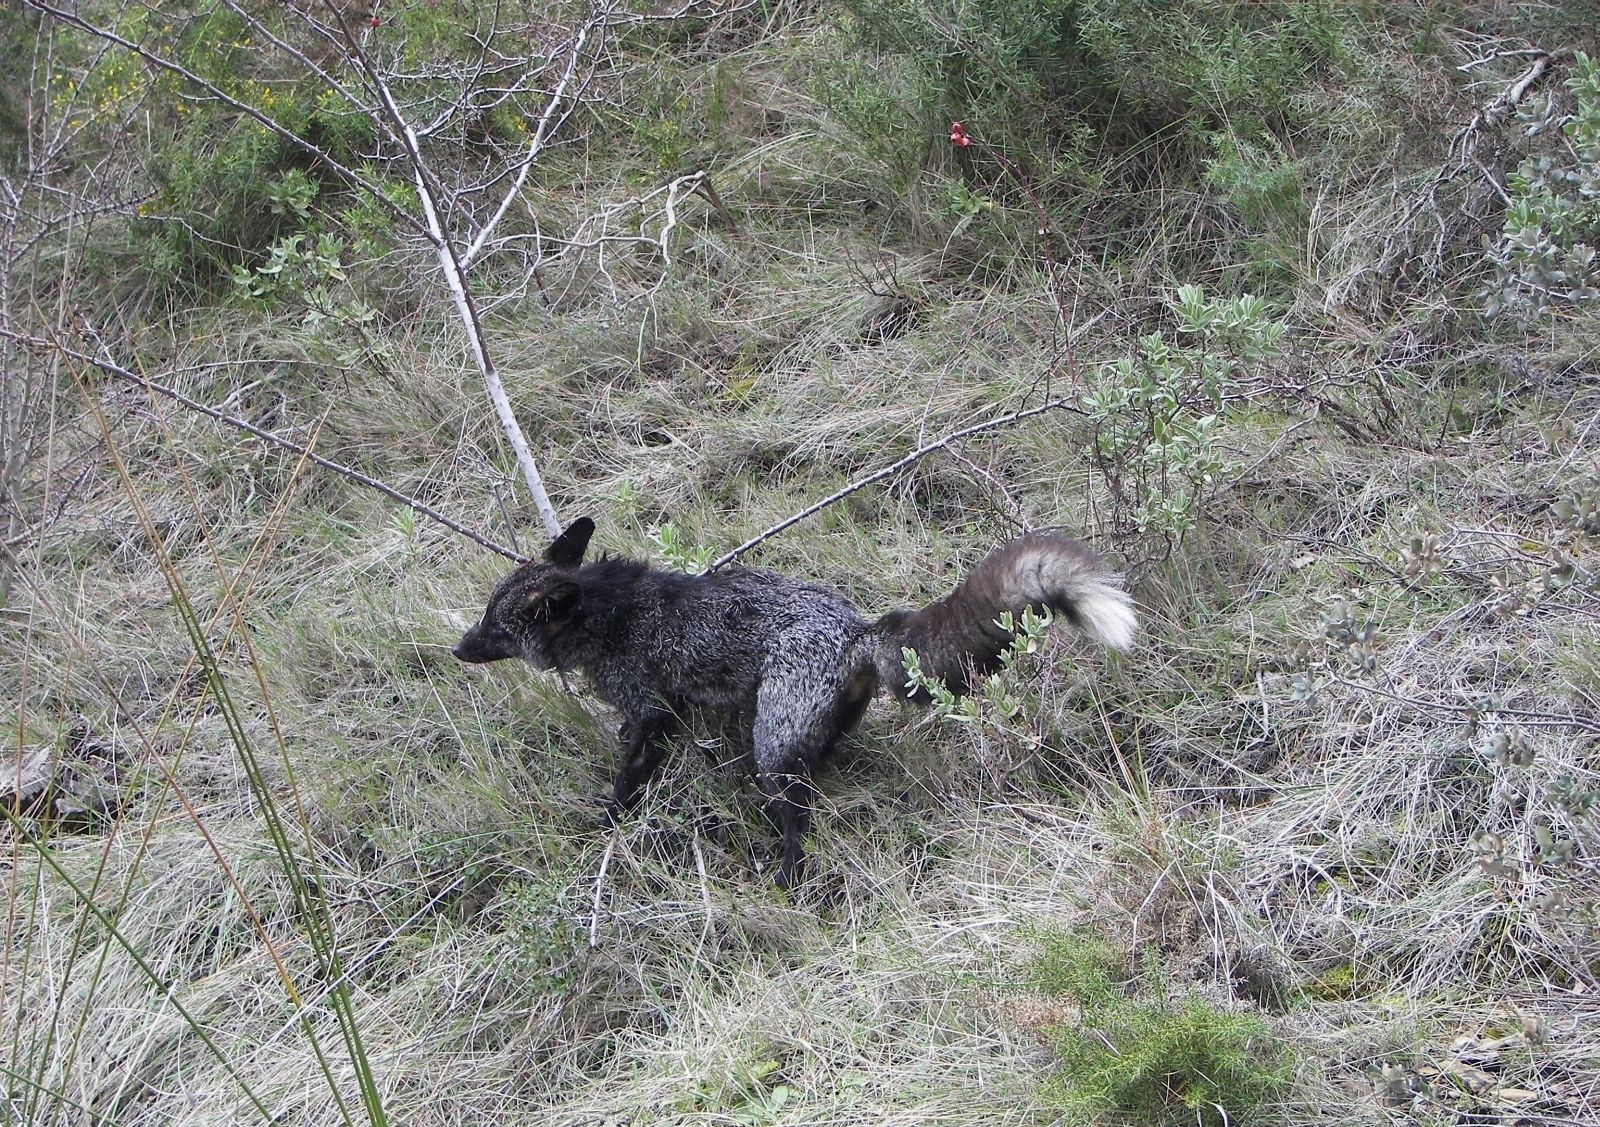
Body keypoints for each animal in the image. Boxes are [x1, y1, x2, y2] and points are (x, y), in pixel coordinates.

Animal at [454, 518, 1139, 890]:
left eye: (495, 626)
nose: (458, 650)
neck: (607, 615)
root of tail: (858, 629)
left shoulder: (652, 714)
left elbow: (626, 783)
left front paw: (605, 827)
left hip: (772, 751)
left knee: (796, 825)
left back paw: (786, 883)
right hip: (803, 740)